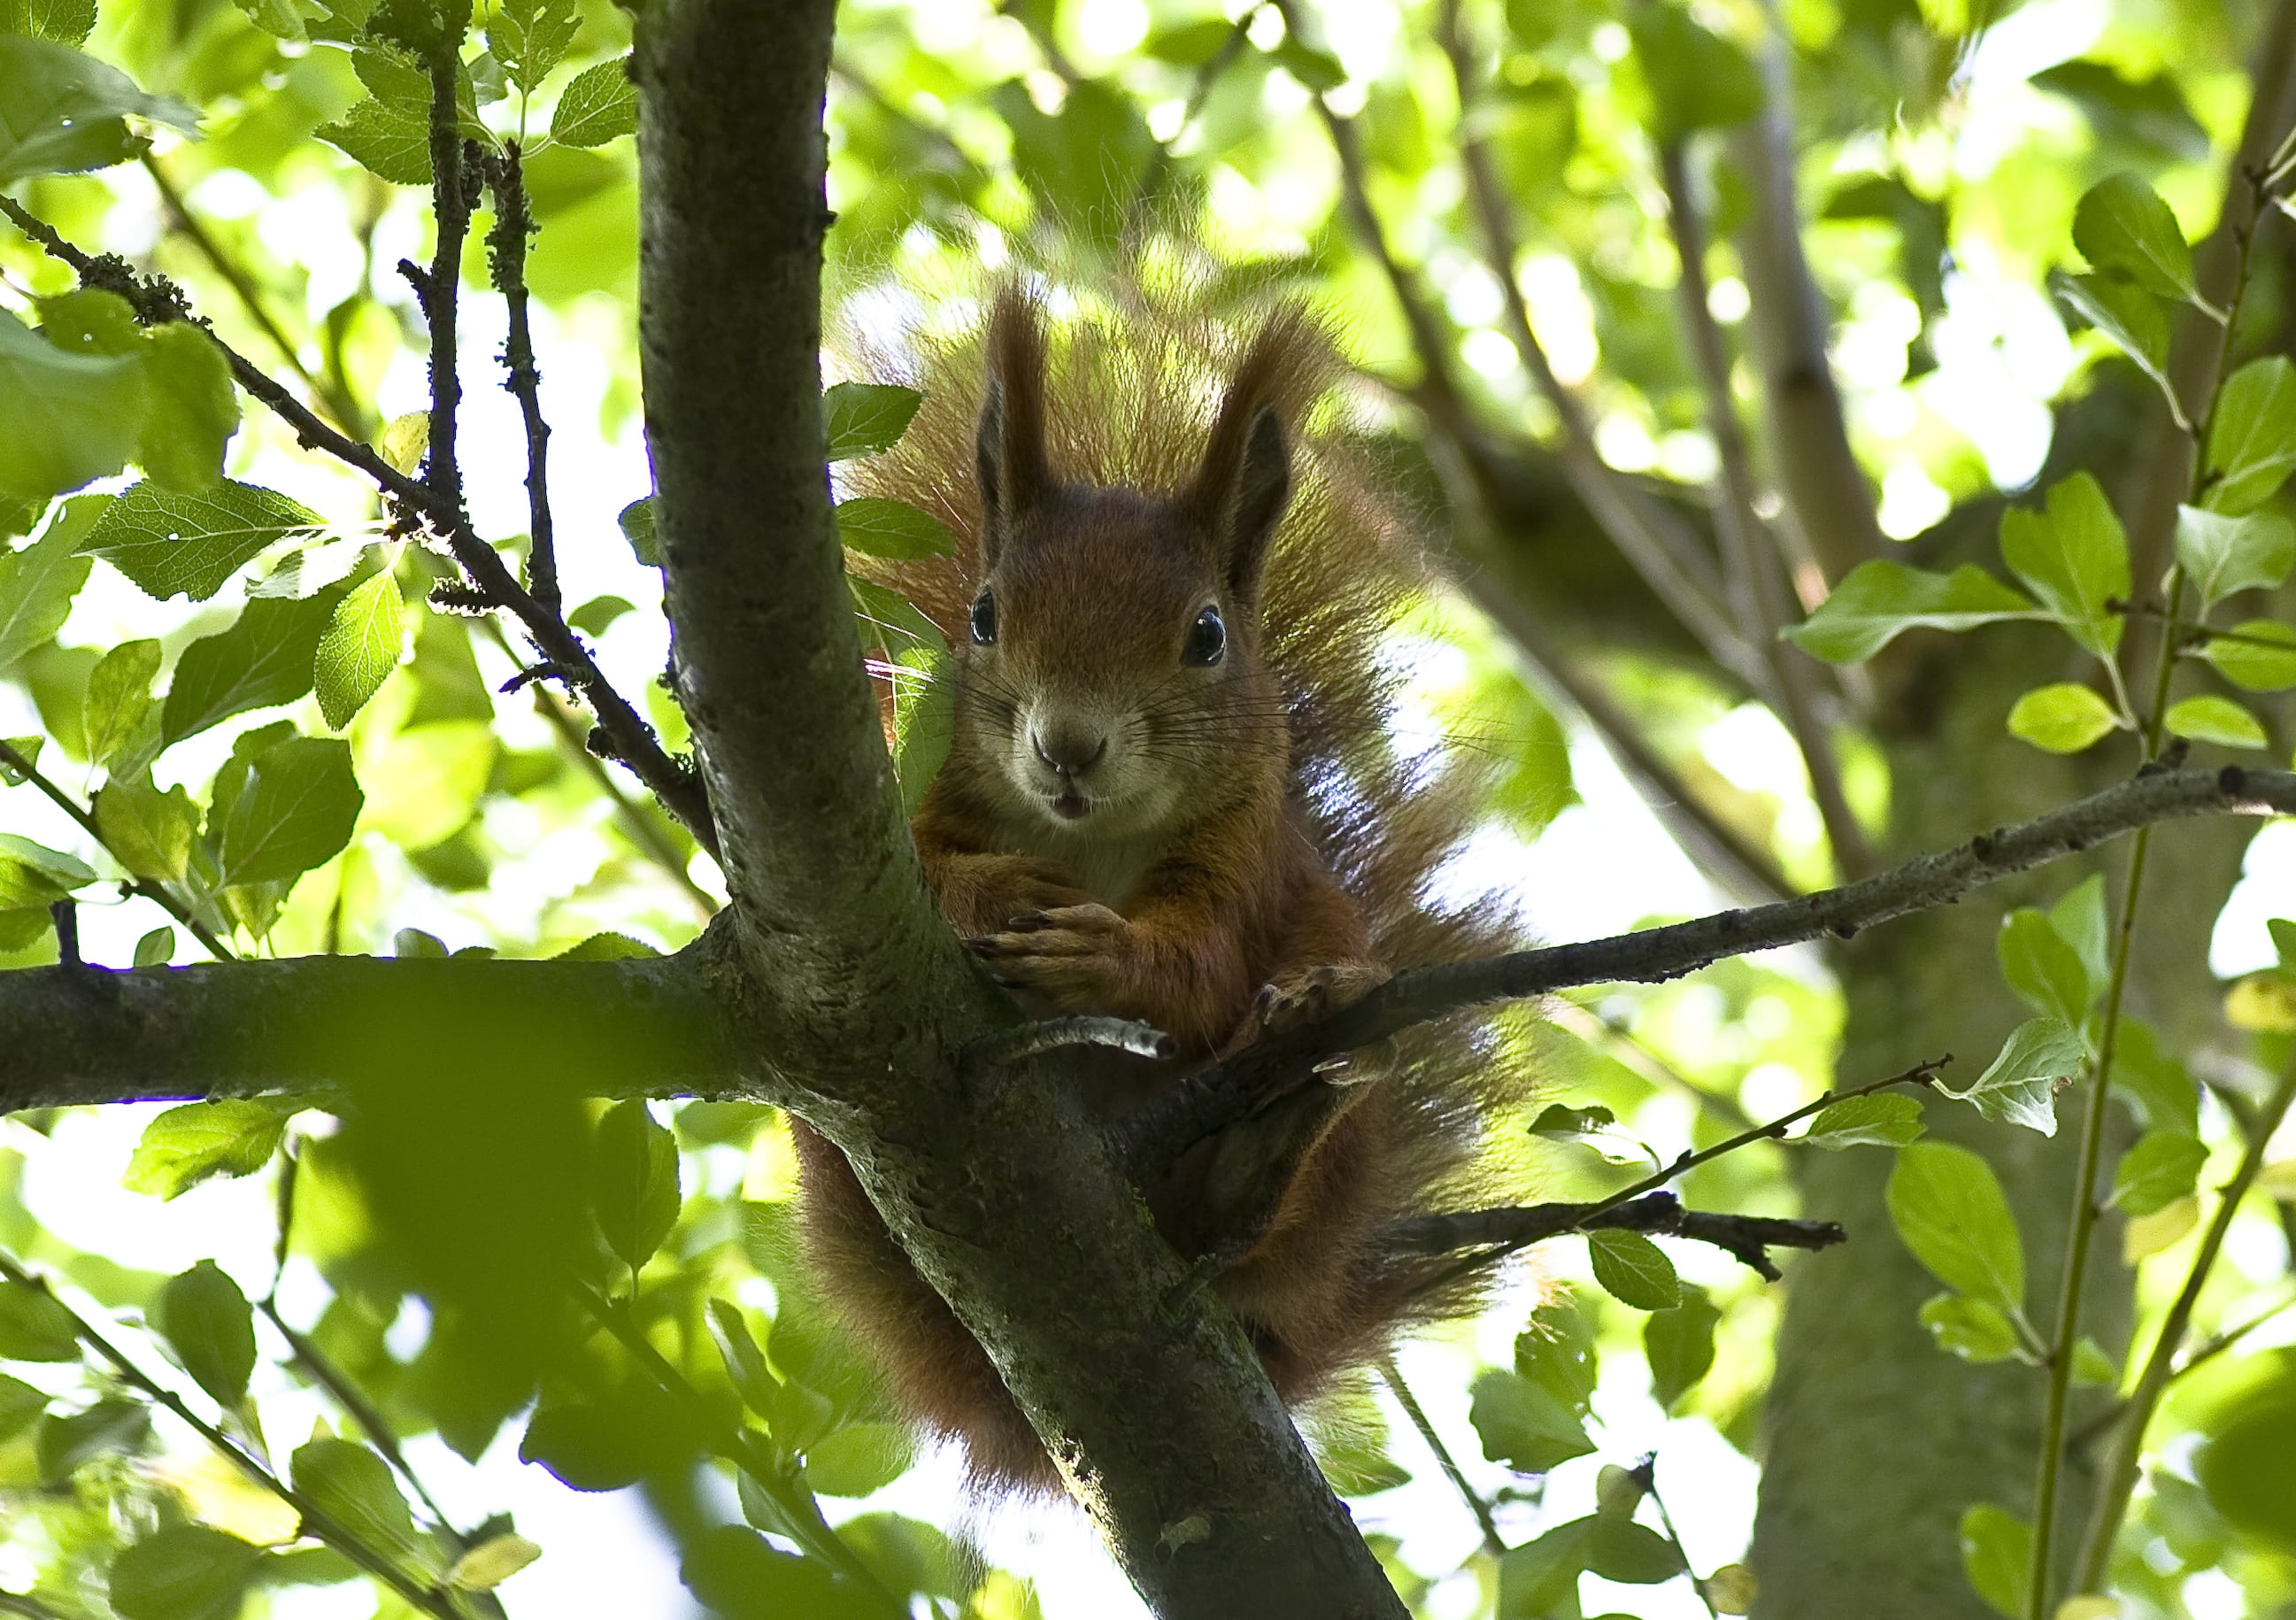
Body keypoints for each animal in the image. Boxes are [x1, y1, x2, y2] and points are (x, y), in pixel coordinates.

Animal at [790, 287, 1525, 1491]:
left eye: (1207, 635)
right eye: (983, 617)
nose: (1068, 746)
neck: (1089, 841)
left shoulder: (1244, 859)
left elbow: (1202, 973)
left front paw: (1100, 956)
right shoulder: (908, 814)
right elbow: (931, 872)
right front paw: (999, 892)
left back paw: (1271, 1128)